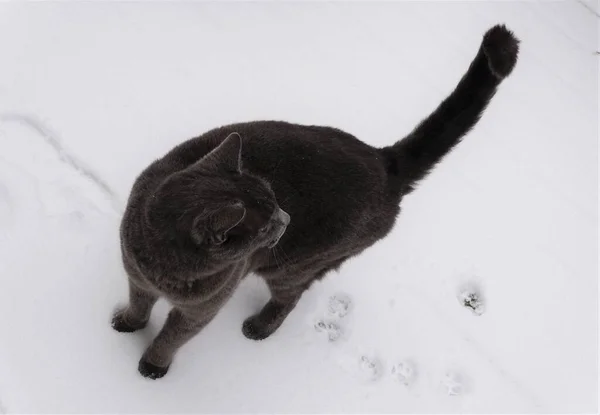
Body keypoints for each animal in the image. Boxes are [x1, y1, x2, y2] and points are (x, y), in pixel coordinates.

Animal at [112, 23, 520, 380]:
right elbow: (138, 304)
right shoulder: (135, 276)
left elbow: (172, 337)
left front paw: (152, 367)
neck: (161, 267)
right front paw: (127, 324)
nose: (287, 218)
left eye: (274, 200)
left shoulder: (200, 310)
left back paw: (258, 328)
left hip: (294, 265)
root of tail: (384, 161)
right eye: (265, 222)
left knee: (289, 298)